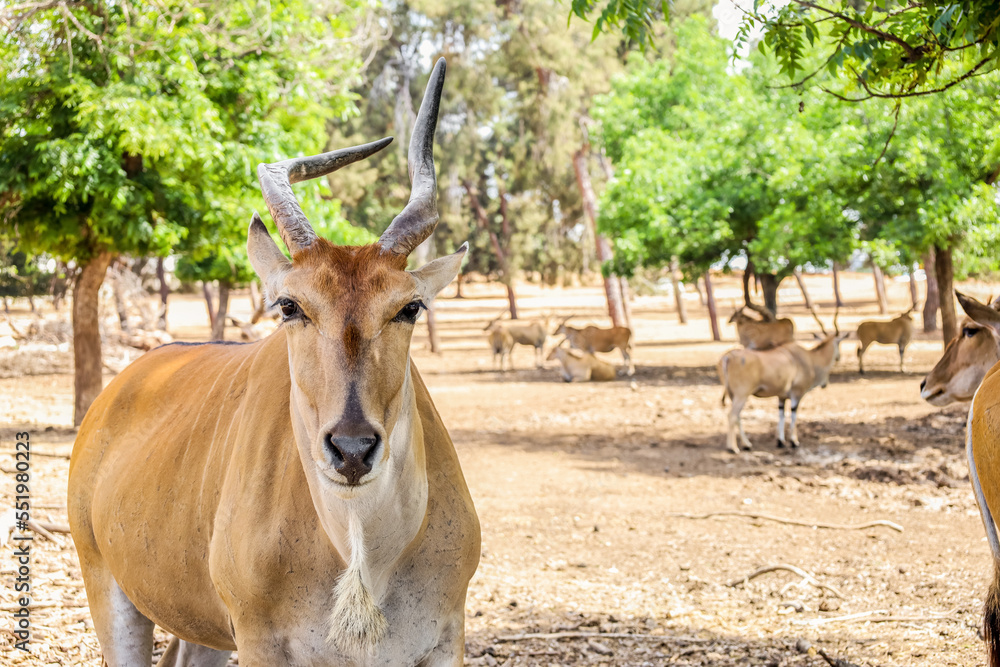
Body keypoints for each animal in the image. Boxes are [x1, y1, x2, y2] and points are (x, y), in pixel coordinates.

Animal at [67, 58, 480, 667]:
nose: (351, 449)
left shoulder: (446, 639)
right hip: (110, 591)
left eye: (409, 307)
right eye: (290, 305)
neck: (362, 561)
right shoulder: (259, 638)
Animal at [716, 318, 848, 454]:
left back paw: (747, 444)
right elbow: (793, 415)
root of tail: (728, 357)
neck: (811, 359)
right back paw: (733, 447)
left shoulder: (781, 397)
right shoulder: (797, 394)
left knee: (737, 417)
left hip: (733, 395)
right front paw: (794, 442)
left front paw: (780, 441)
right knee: (732, 416)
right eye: (839, 343)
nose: (839, 357)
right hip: (741, 395)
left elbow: (781, 415)